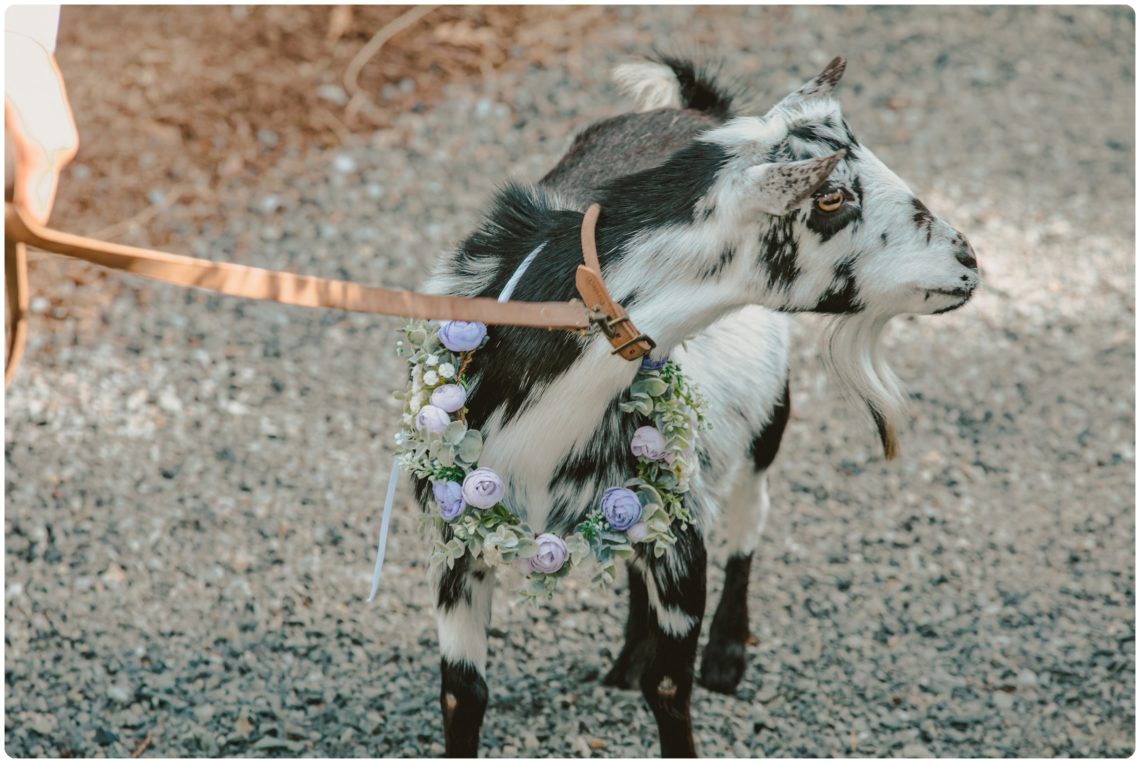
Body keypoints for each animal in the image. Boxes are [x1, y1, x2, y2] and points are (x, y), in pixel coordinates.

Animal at [414, 55, 975, 757]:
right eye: (830, 198)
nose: (967, 260)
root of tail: (691, 105)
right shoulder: (456, 544)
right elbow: (462, 694)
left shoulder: (683, 539)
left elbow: (669, 687)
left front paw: (690, 669)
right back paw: (628, 657)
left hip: (768, 415)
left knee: (751, 510)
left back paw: (728, 654)